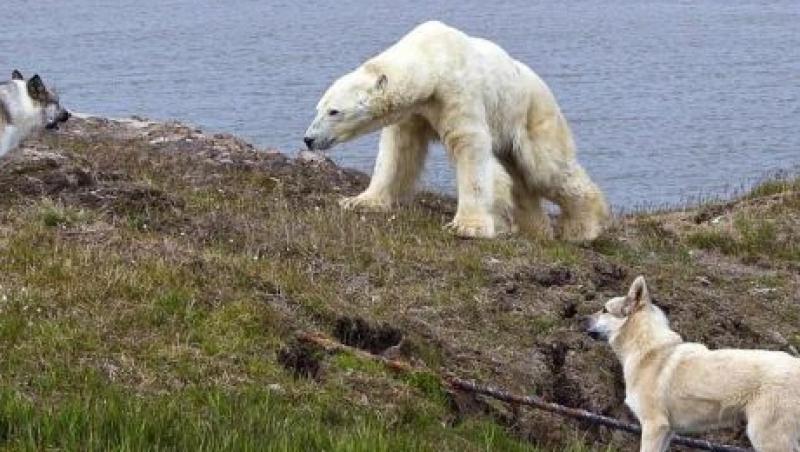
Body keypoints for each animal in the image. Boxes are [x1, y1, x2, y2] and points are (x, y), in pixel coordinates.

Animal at [304, 21, 608, 240]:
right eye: (318, 108)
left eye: (334, 111)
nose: (308, 139)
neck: (432, 60)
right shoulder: (415, 113)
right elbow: (398, 152)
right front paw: (360, 201)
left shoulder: (457, 93)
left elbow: (470, 147)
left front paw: (468, 227)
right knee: (520, 181)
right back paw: (535, 229)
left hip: (530, 114)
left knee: (546, 170)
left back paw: (582, 228)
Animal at [580, 276, 800, 452]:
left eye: (604, 310)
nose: (580, 317)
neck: (648, 349)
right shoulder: (667, 432)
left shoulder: (654, 427)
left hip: (766, 437)